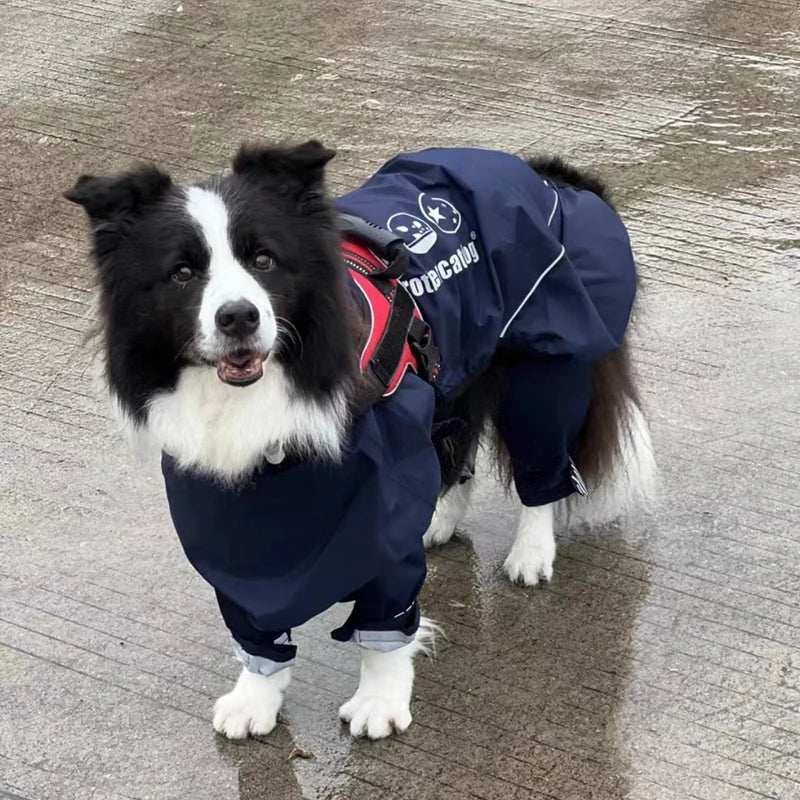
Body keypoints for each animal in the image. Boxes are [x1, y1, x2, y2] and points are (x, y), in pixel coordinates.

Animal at [67, 141, 656, 740]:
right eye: (182, 273)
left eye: (264, 261)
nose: (239, 317)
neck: (271, 388)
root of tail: (551, 176)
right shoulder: (221, 509)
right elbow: (253, 610)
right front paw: (256, 697)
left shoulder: (382, 487)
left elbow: (385, 614)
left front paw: (380, 701)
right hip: (453, 371)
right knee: (457, 451)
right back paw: (440, 520)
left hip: (544, 366)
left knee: (540, 466)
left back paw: (531, 552)